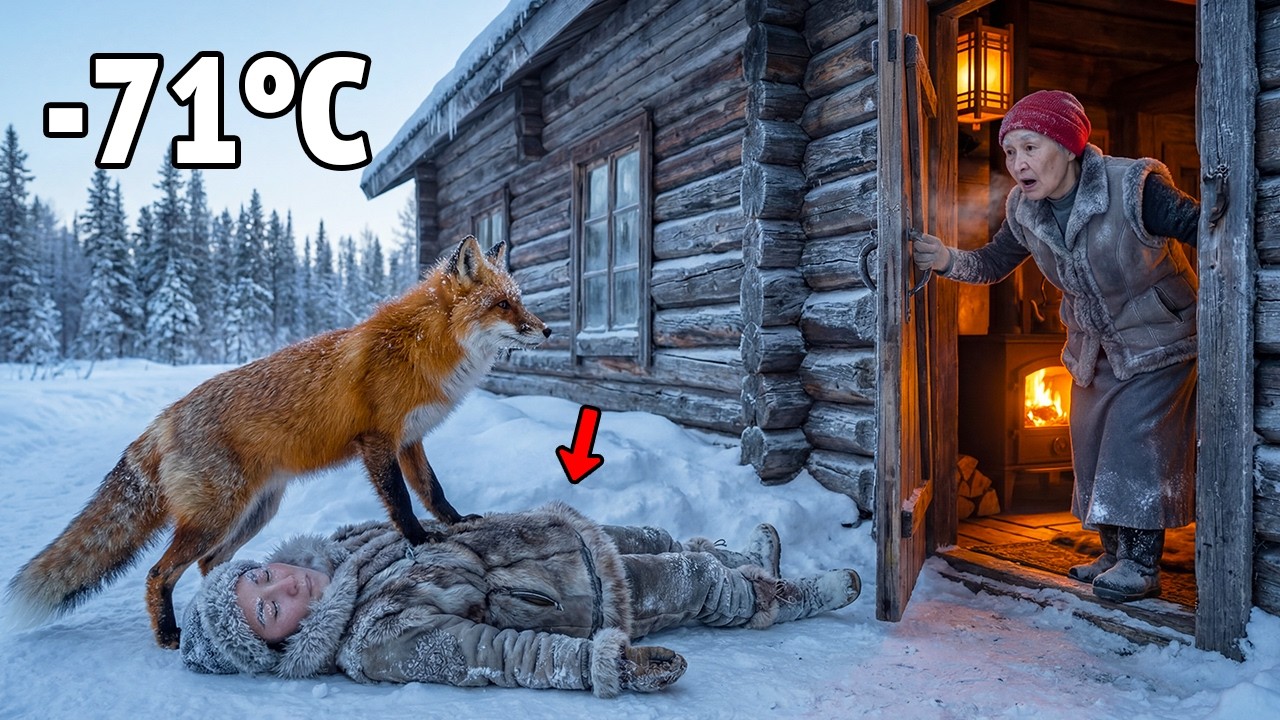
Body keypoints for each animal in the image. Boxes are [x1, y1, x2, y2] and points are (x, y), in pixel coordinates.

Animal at [6, 235, 548, 648]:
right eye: (502, 305)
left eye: (519, 299)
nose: (545, 329)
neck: (420, 347)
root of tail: (164, 418)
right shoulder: (378, 442)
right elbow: (400, 503)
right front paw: (419, 542)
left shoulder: (410, 441)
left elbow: (433, 492)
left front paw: (456, 524)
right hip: (216, 516)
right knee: (159, 573)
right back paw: (168, 634)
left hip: (253, 514)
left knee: (208, 565)